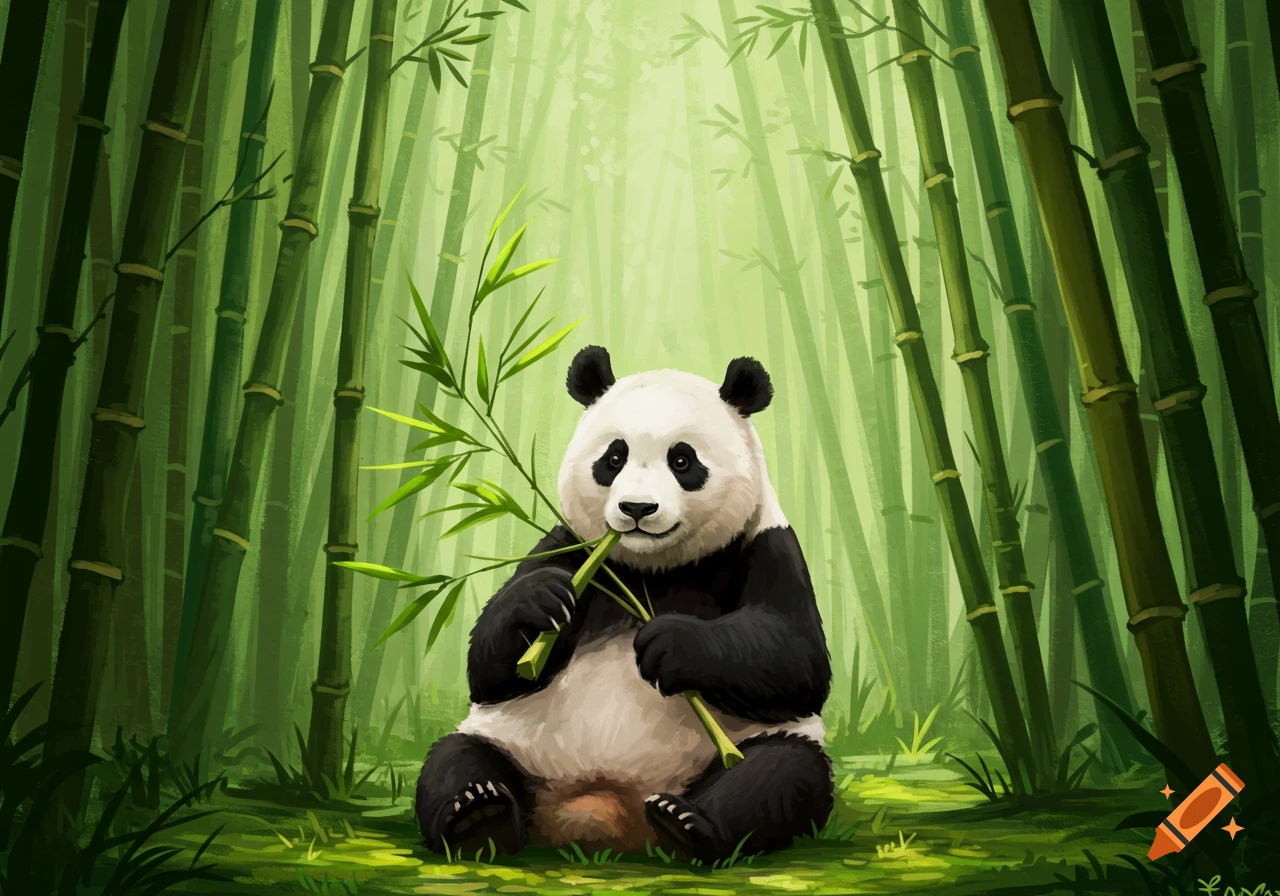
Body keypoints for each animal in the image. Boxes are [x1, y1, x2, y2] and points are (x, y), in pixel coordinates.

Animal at [414, 346, 833, 862]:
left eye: (682, 460)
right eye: (614, 457)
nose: (636, 508)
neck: (654, 569)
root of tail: (601, 813)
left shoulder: (765, 543)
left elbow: (794, 658)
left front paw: (669, 643)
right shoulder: (572, 546)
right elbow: (490, 669)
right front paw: (539, 602)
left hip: (743, 747)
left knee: (779, 773)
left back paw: (686, 823)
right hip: (511, 741)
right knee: (456, 759)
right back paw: (478, 817)